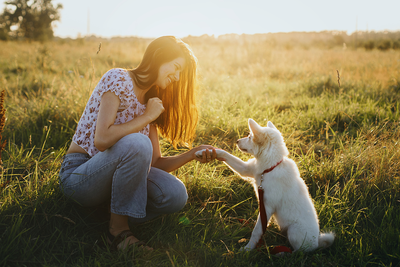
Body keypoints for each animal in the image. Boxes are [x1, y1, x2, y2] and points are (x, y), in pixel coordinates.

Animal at [197, 119, 334, 253]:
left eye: (249, 136)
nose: (237, 141)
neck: (271, 167)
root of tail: (317, 242)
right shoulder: (246, 169)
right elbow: (225, 154)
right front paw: (203, 152)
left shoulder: (267, 207)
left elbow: (257, 231)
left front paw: (248, 249)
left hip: (294, 231)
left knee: (301, 251)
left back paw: (284, 253)